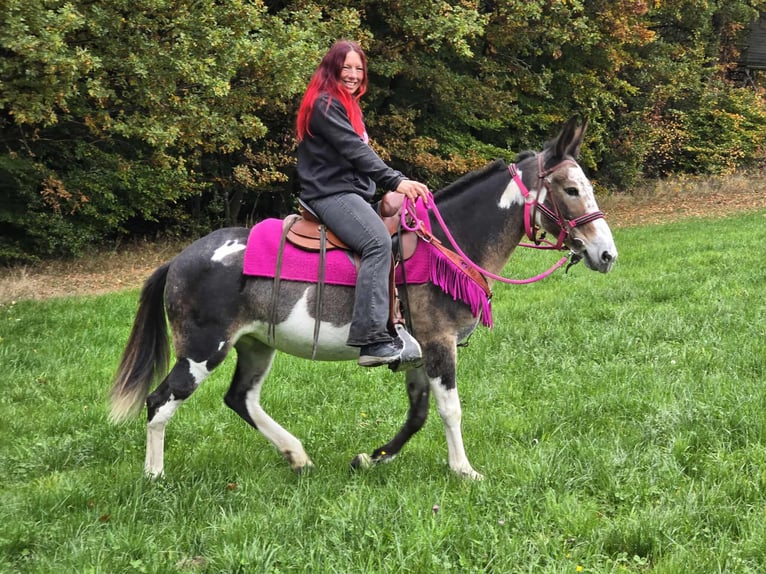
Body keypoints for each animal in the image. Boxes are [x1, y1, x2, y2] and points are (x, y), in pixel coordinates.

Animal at [109, 116, 617, 480]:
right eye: (571, 189)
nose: (606, 254)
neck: (445, 244)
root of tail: (178, 260)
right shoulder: (439, 345)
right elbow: (450, 410)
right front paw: (464, 471)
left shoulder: (417, 353)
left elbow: (417, 416)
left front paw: (372, 458)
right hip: (201, 349)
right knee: (160, 402)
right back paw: (154, 477)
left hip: (255, 345)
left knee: (240, 398)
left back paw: (296, 455)